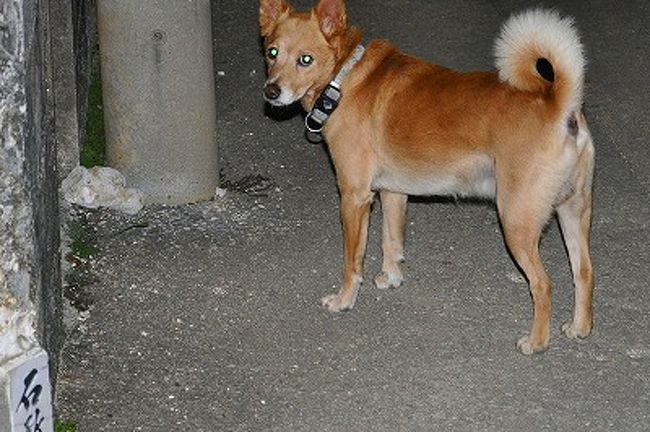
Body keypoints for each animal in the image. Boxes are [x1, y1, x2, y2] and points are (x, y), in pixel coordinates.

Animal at [256, 0, 592, 354]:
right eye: (272, 52)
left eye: (305, 59)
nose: (271, 91)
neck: (345, 77)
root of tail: (560, 105)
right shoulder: (392, 192)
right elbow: (391, 241)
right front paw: (391, 278)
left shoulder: (354, 197)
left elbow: (353, 260)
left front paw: (344, 300)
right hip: (573, 211)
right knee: (584, 272)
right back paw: (579, 327)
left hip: (516, 220)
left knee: (543, 284)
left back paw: (536, 342)